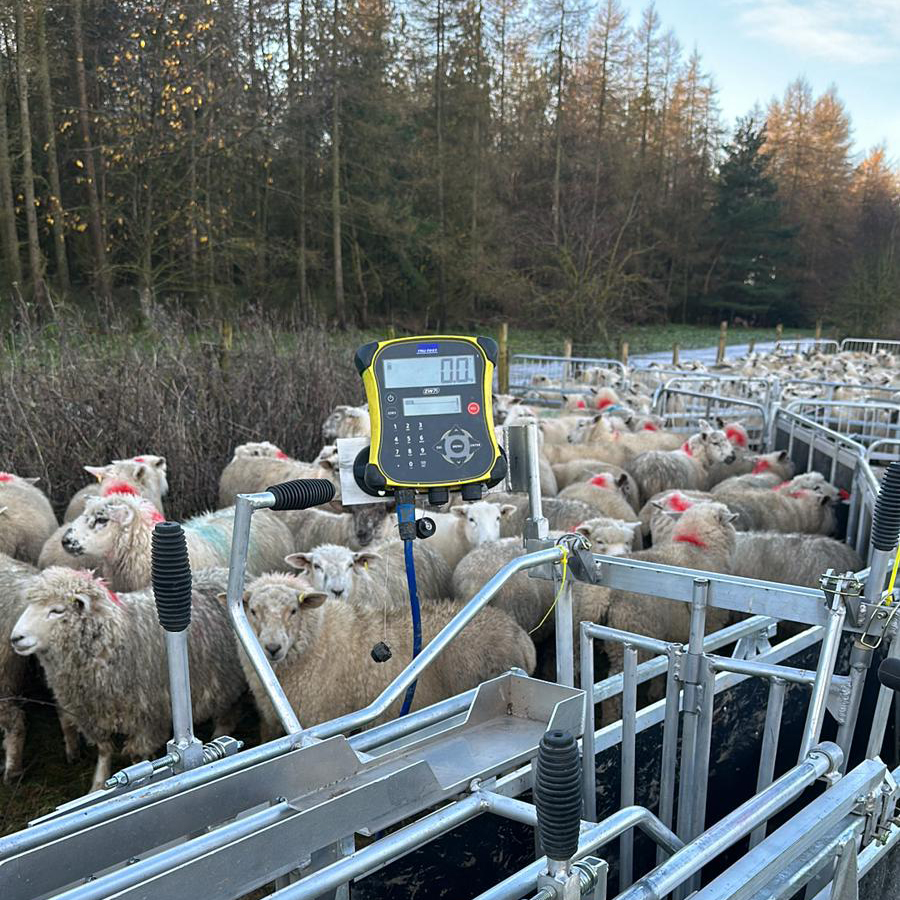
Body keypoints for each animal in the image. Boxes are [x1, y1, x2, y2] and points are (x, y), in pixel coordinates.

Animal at [14, 568, 246, 792]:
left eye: (57, 610)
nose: (16, 638)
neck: (112, 637)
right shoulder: (93, 712)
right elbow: (104, 750)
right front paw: (98, 784)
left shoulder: (147, 716)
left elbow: (137, 755)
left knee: (228, 711)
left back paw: (219, 735)